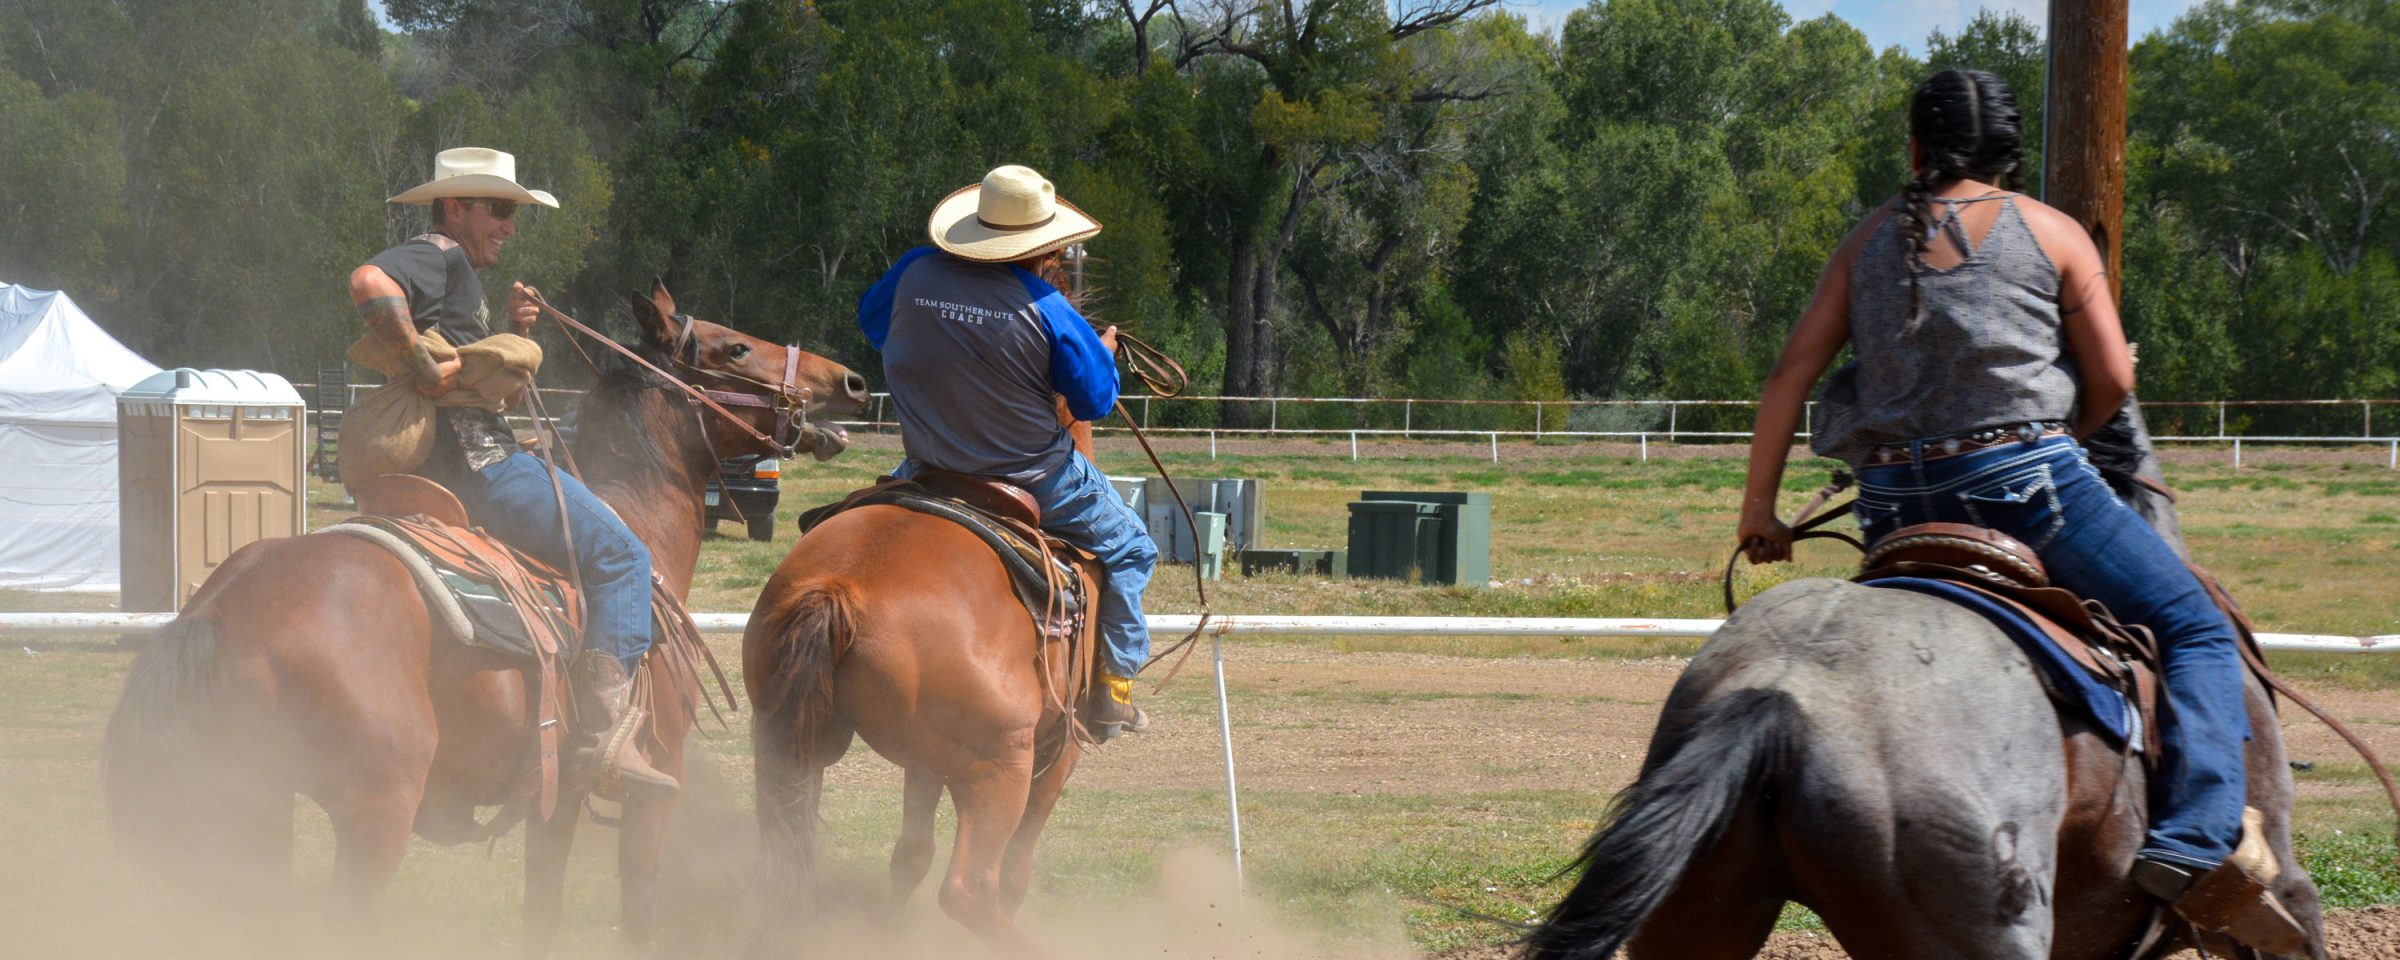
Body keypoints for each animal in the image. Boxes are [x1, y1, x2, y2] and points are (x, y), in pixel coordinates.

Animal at [105, 280, 873, 955]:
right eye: (734, 347)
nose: (852, 381)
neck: (640, 535)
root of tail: (222, 611)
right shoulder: (658, 779)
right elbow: (639, 909)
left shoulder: (555, 797)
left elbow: (543, 910)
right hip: (373, 813)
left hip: (247, 804)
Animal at [739, 432, 1104, 955]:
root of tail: (839, 587)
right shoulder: (1060, 752)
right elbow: (1016, 872)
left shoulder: (925, 759)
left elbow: (911, 854)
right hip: (1000, 766)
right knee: (970, 889)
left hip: (788, 740)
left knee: (786, 848)